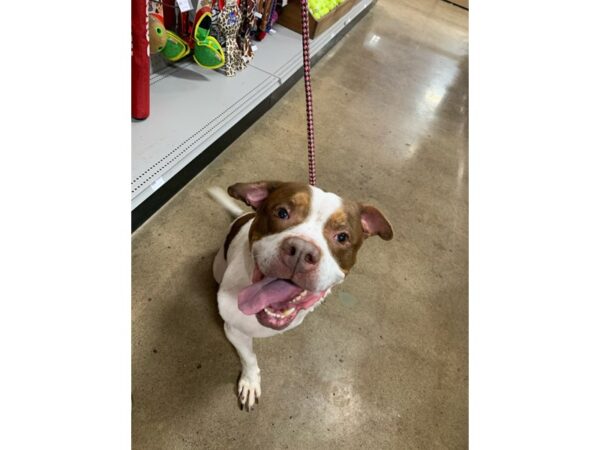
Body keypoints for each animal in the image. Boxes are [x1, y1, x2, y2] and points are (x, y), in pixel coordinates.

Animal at [211, 181, 394, 410]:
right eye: (282, 212)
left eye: (342, 236)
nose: (301, 250)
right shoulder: (233, 329)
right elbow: (249, 358)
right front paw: (251, 381)